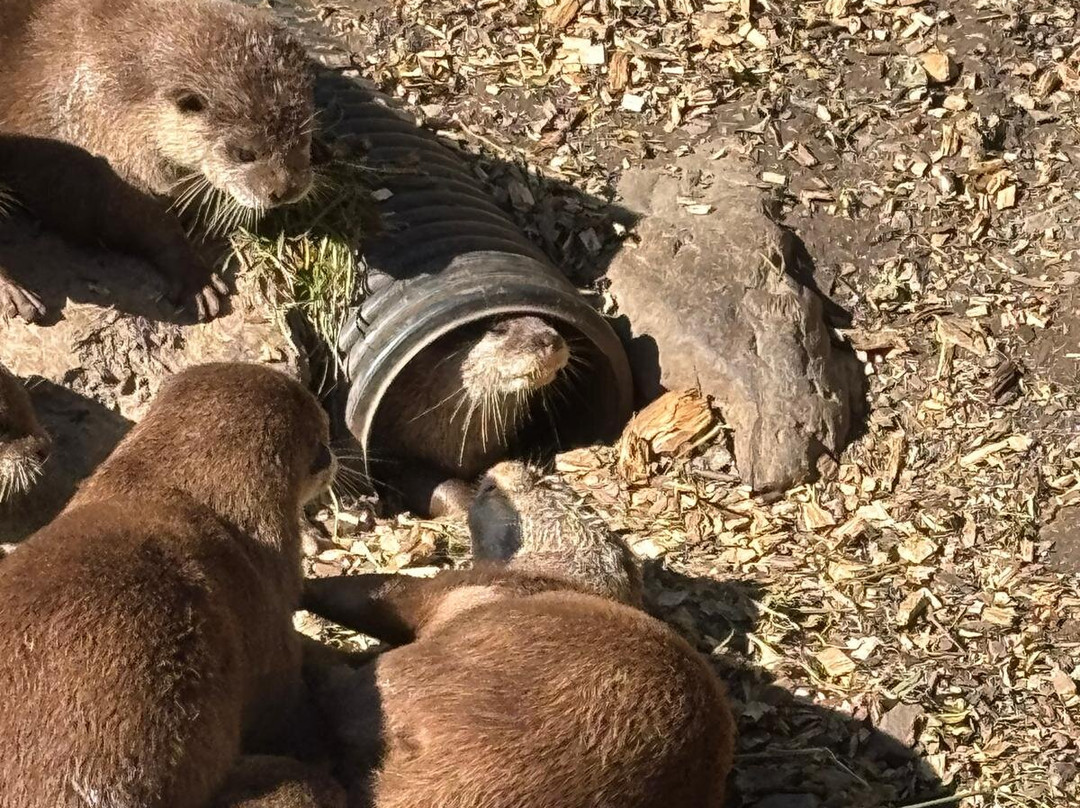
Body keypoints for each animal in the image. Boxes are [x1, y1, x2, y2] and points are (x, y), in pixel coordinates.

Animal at [0, 0, 316, 321]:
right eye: (245, 153)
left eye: (304, 136)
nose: (286, 190)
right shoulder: (93, 159)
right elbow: (134, 219)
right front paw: (195, 277)